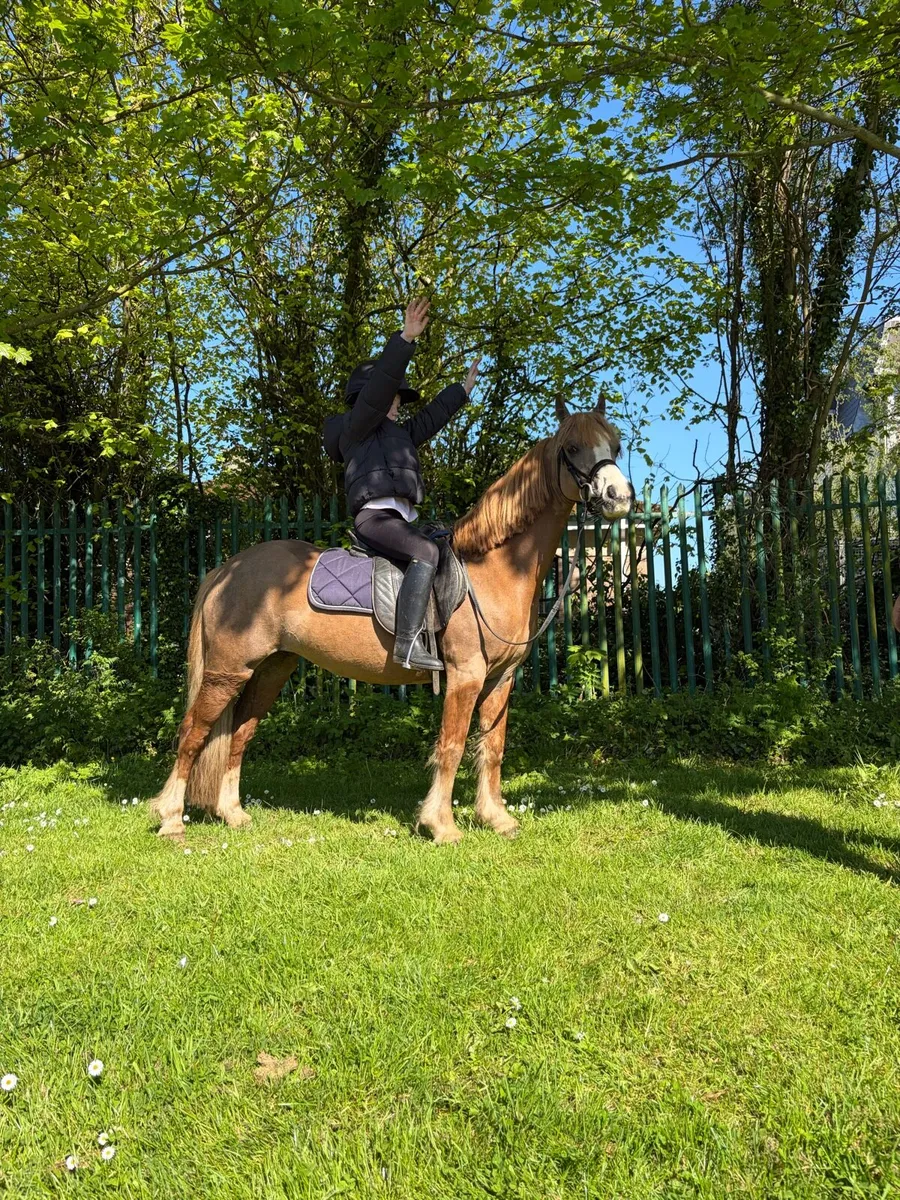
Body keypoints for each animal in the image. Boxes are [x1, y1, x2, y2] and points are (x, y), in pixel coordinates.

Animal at [149, 397, 633, 844]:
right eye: (572, 447)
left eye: (615, 446)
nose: (619, 498)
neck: (493, 568)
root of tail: (228, 569)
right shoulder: (466, 676)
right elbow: (452, 746)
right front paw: (441, 825)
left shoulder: (501, 679)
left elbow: (492, 747)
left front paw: (495, 818)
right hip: (226, 671)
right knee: (192, 733)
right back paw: (171, 819)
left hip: (269, 671)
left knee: (239, 735)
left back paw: (233, 814)